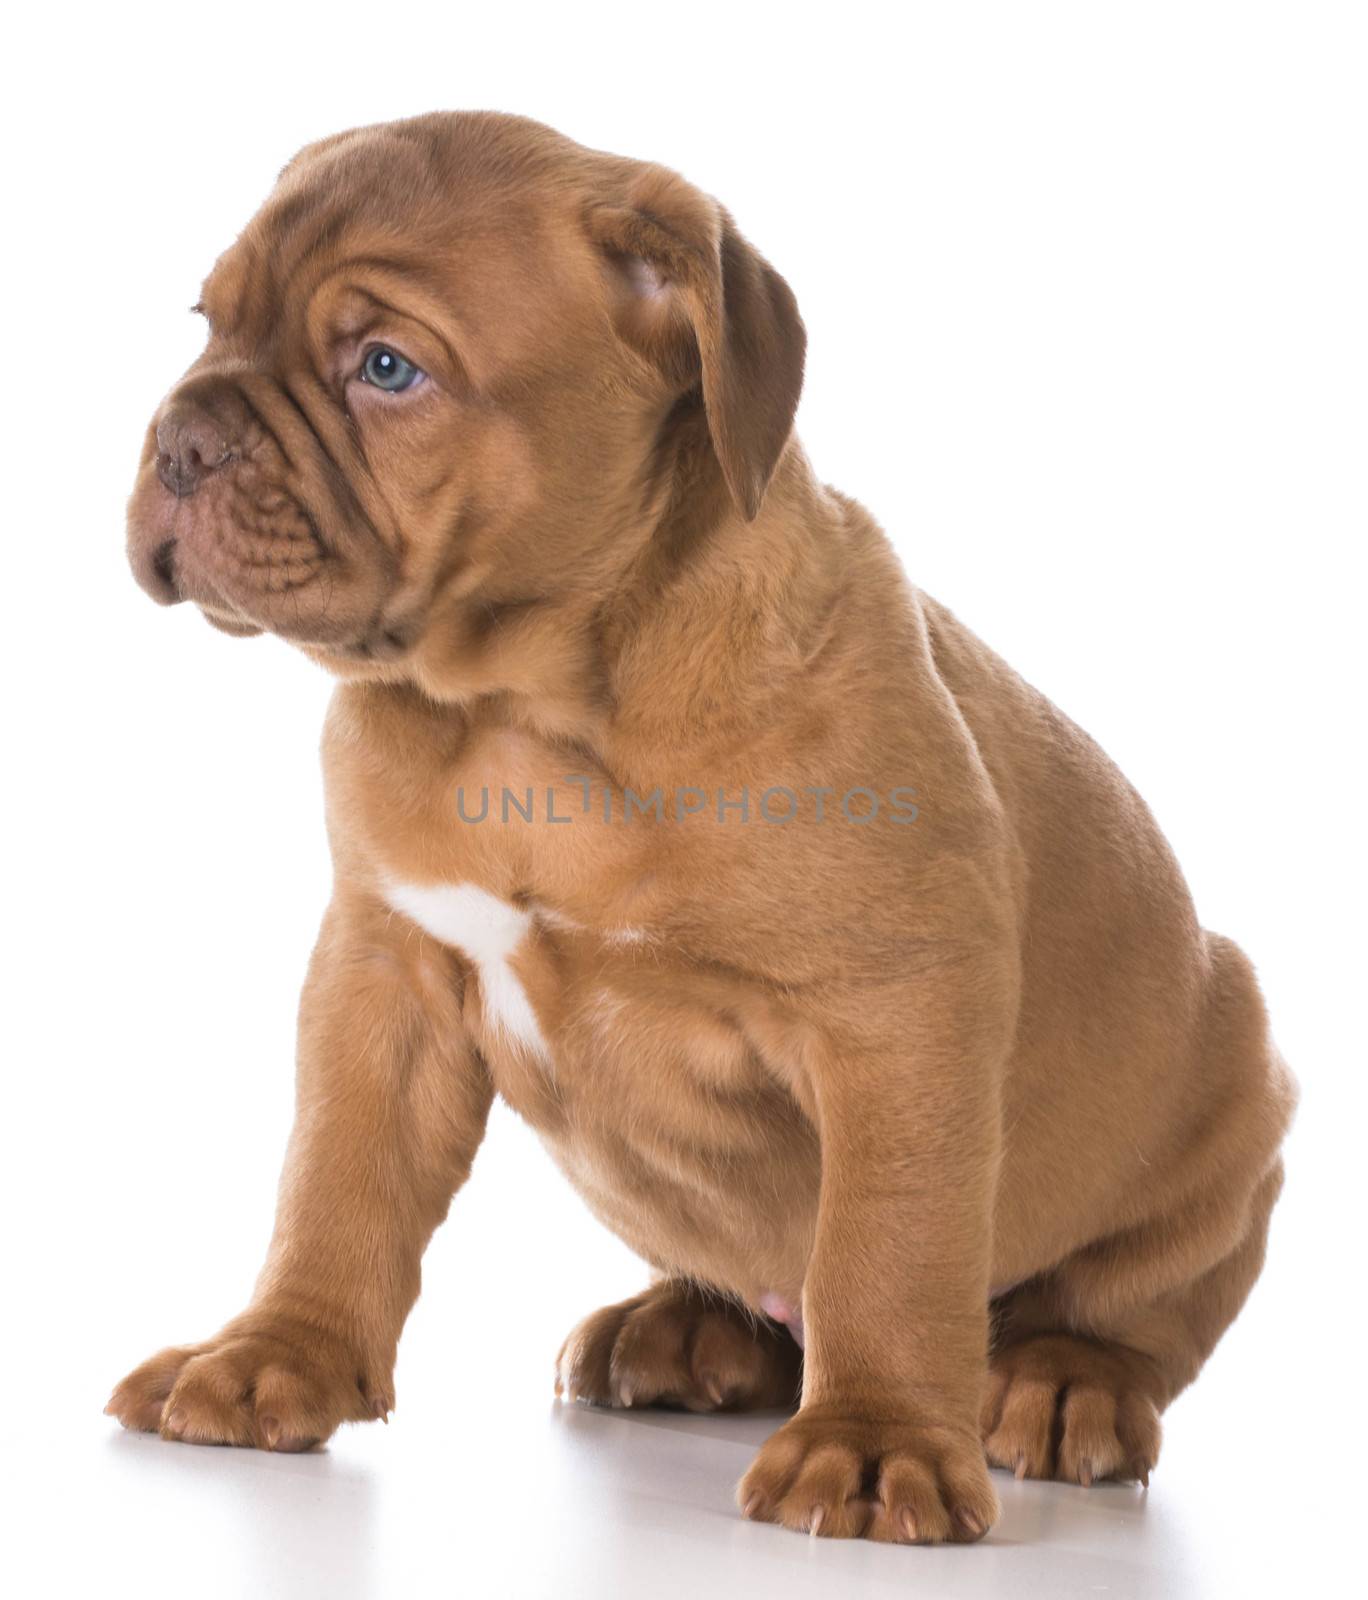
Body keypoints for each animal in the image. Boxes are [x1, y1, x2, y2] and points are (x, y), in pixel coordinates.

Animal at [109, 109, 1292, 1536]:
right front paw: (273, 1353)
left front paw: (876, 1440)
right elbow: (336, 1180)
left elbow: (889, 1244)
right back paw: (682, 1327)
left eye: (387, 367)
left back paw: (1068, 1380)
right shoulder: (383, 973)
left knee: (1126, 1307)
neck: (525, 707)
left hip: (1236, 1092)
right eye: (208, 323)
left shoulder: (897, 1014)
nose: (180, 439)